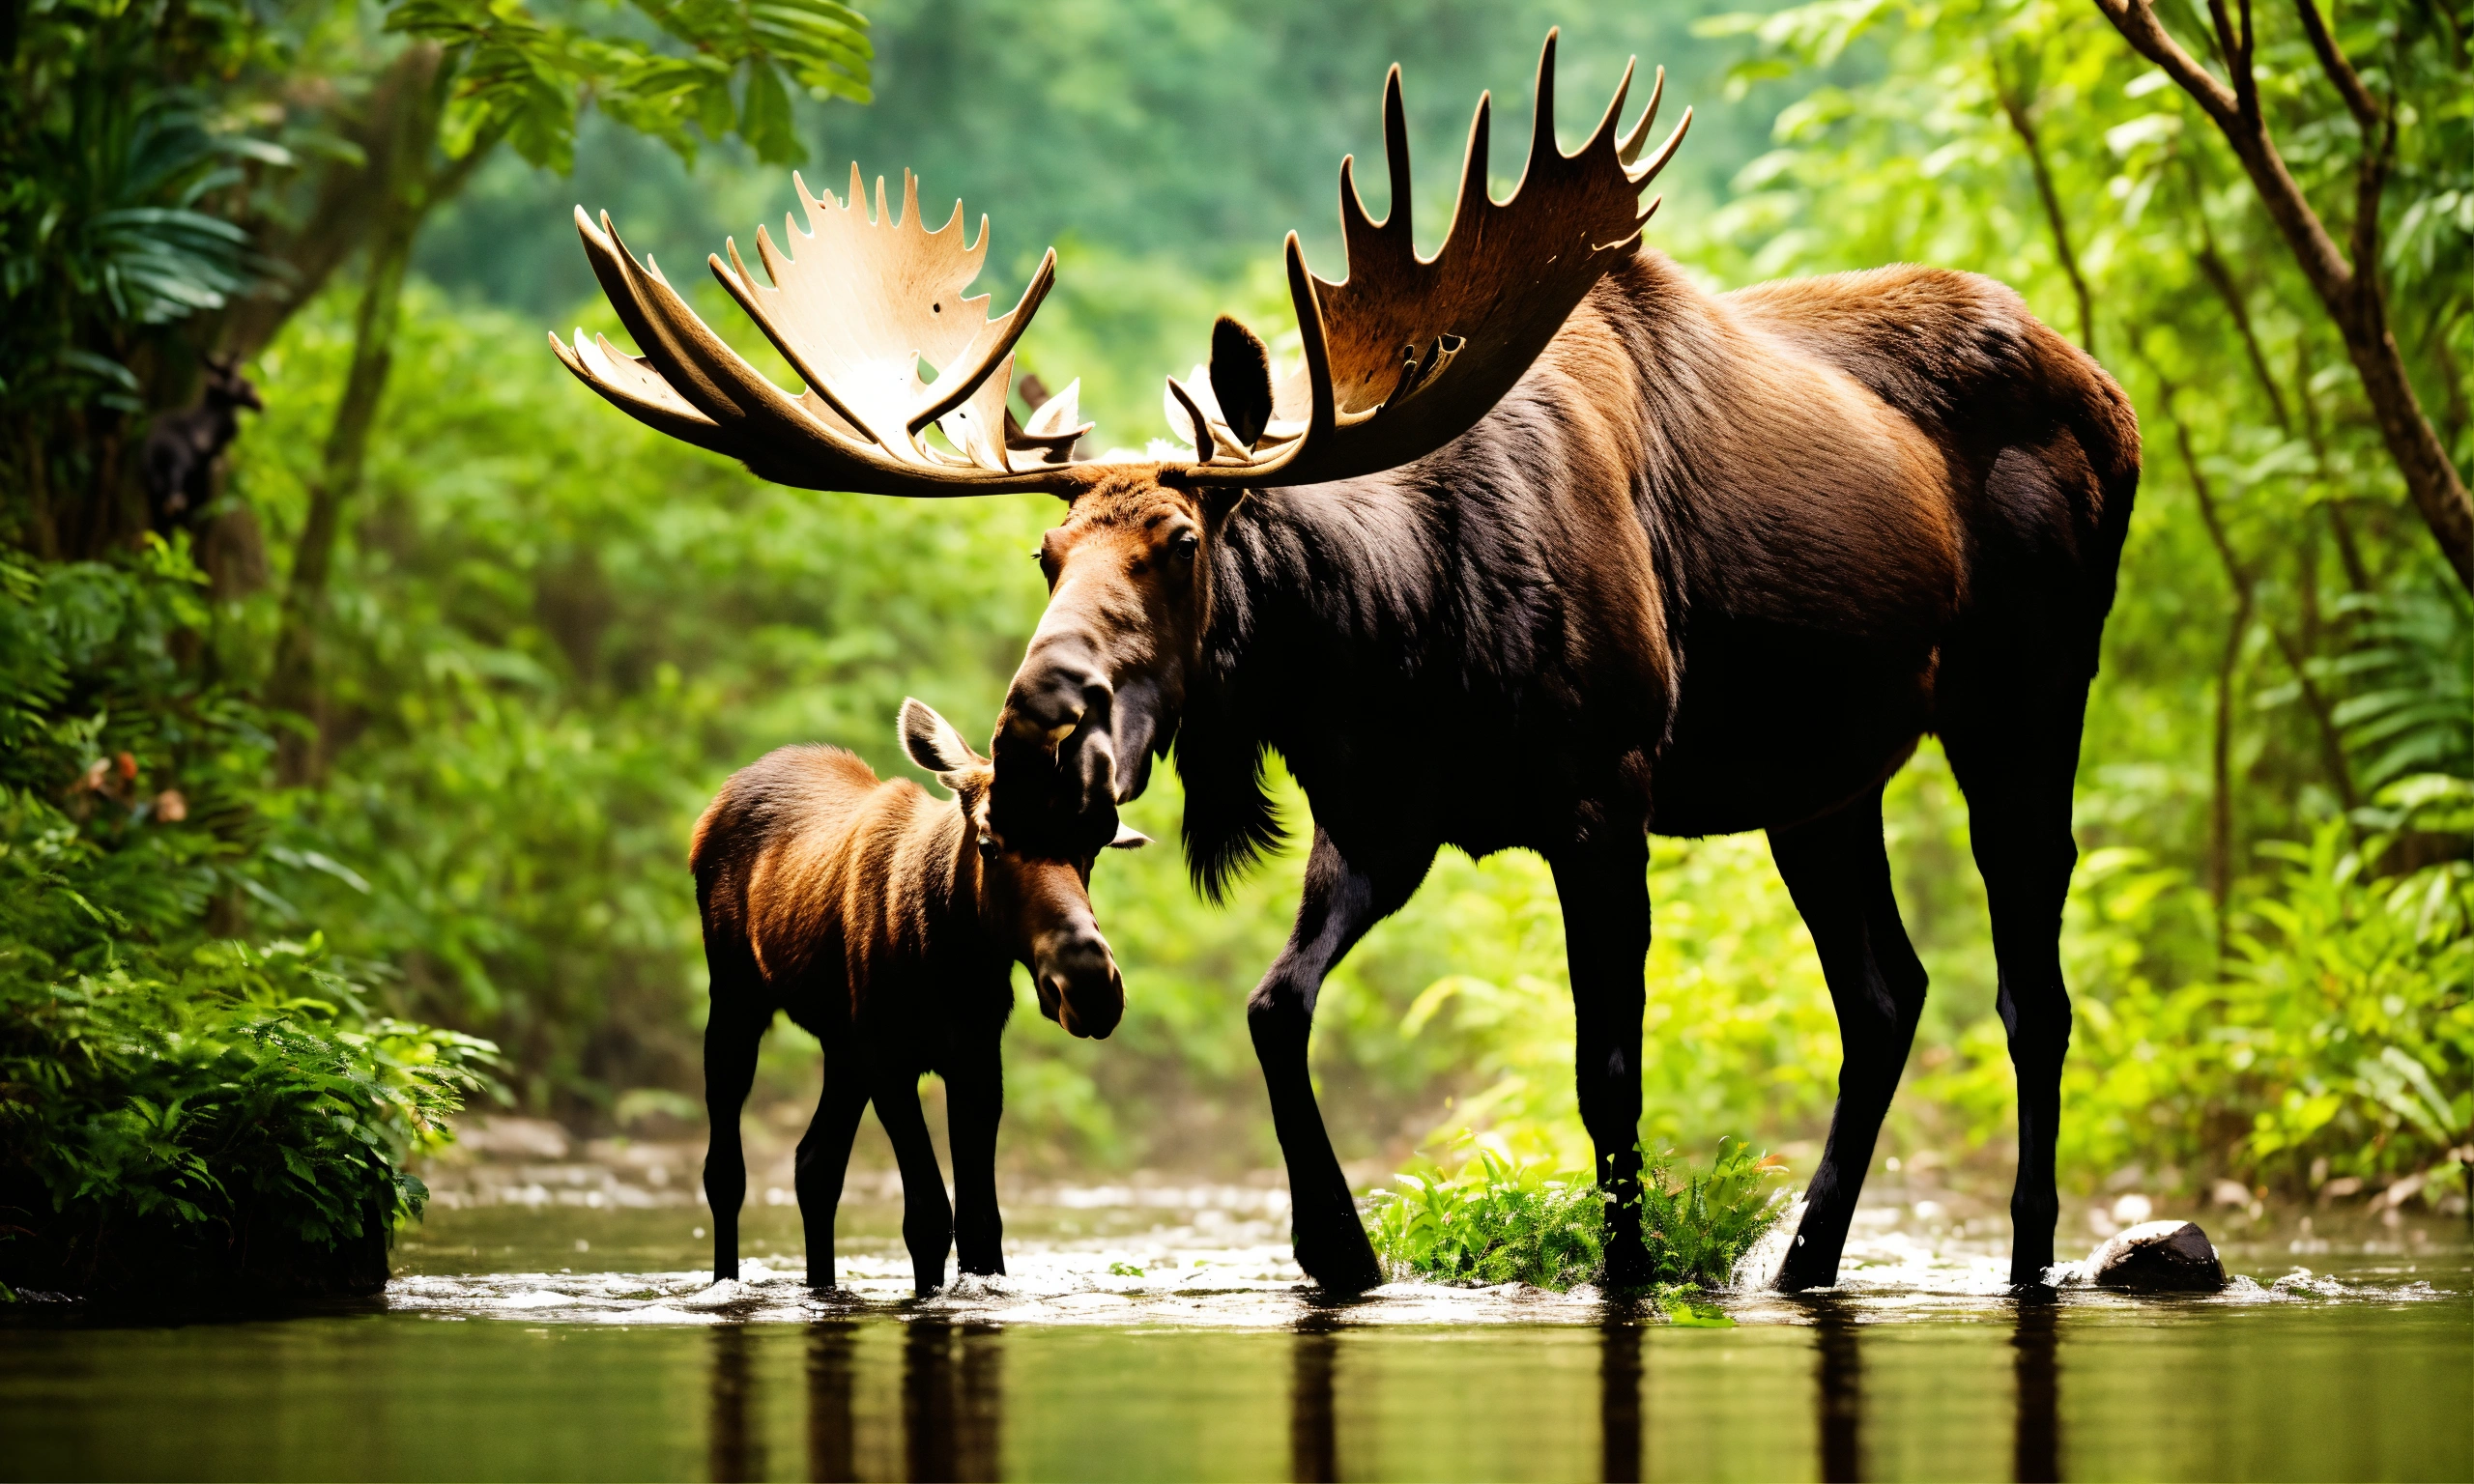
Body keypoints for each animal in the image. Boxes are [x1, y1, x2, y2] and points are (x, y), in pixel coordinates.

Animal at [691, 699, 1147, 1297]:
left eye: (1090, 849)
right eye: (988, 844)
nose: (1090, 984)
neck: (951, 963)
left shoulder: (975, 1062)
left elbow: (981, 1225)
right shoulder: (891, 1064)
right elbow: (928, 1218)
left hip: (842, 1049)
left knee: (815, 1166)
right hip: (736, 1003)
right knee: (726, 1173)